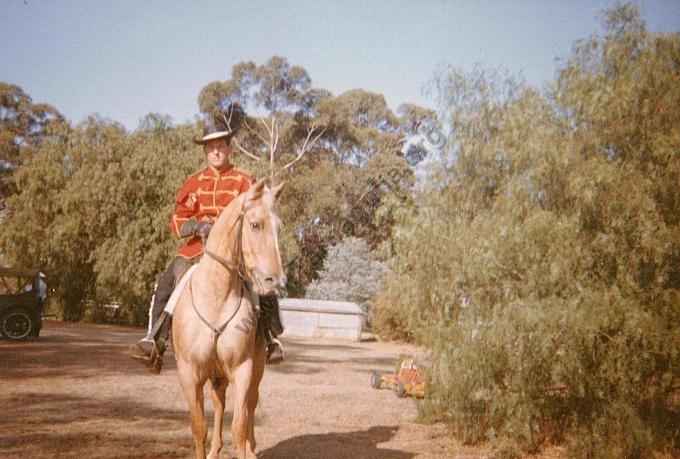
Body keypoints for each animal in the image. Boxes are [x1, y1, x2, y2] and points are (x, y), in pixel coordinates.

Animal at [173, 181, 286, 459]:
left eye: (279, 227)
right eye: (255, 224)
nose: (276, 281)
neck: (216, 295)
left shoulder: (242, 369)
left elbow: (240, 426)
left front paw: (245, 448)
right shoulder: (189, 373)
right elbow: (199, 427)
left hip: (255, 368)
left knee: (250, 406)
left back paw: (251, 450)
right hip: (216, 375)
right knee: (219, 404)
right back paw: (216, 449)